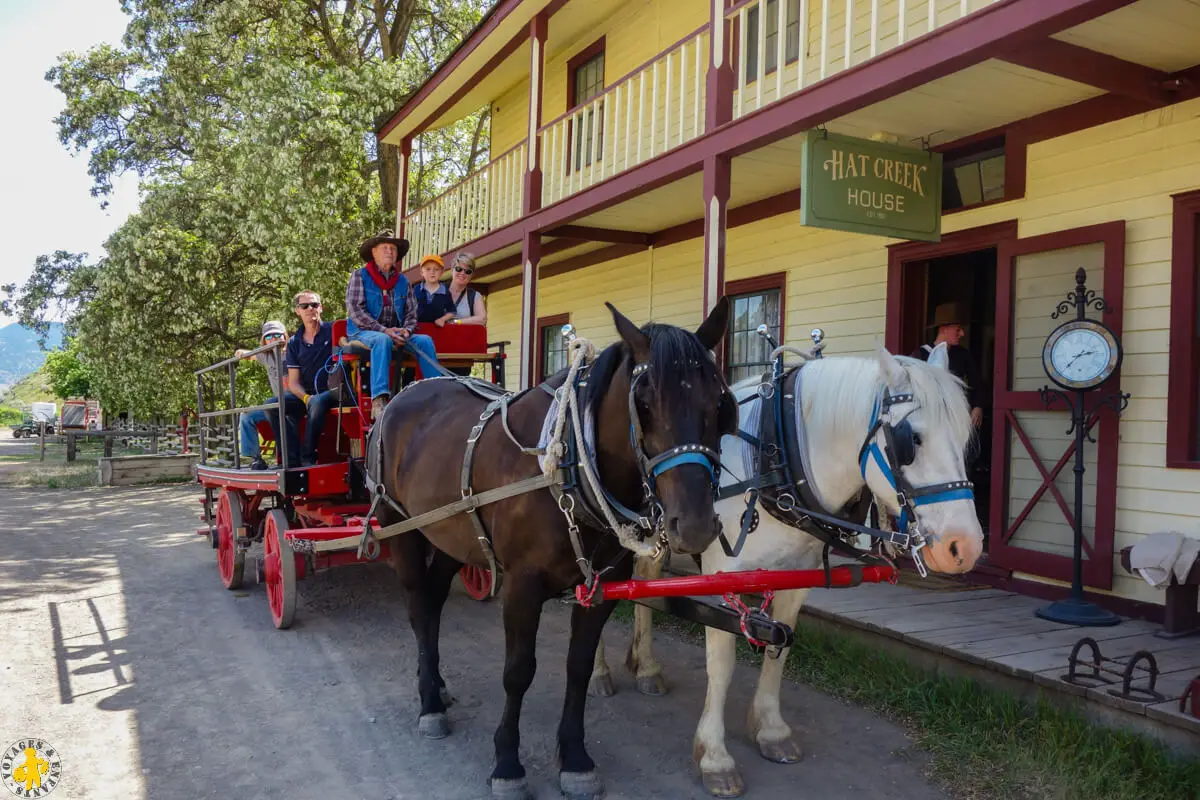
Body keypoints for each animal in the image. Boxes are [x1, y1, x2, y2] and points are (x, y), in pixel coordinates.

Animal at [374, 302, 729, 800]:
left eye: (719, 403)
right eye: (643, 403)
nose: (695, 525)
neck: (569, 465)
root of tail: (405, 393)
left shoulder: (602, 587)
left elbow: (578, 668)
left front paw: (575, 758)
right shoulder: (522, 587)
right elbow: (518, 671)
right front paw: (507, 763)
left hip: (452, 534)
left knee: (435, 600)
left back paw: (438, 685)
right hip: (399, 525)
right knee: (418, 606)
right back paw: (429, 702)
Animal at [590, 343, 984, 796]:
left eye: (966, 438)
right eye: (911, 440)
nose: (965, 548)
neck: (772, 460)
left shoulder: (796, 579)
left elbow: (780, 652)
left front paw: (771, 731)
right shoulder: (724, 578)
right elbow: (721, 666)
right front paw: (714, 756)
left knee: (643, 580)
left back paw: (646, 666)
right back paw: (598, 672)